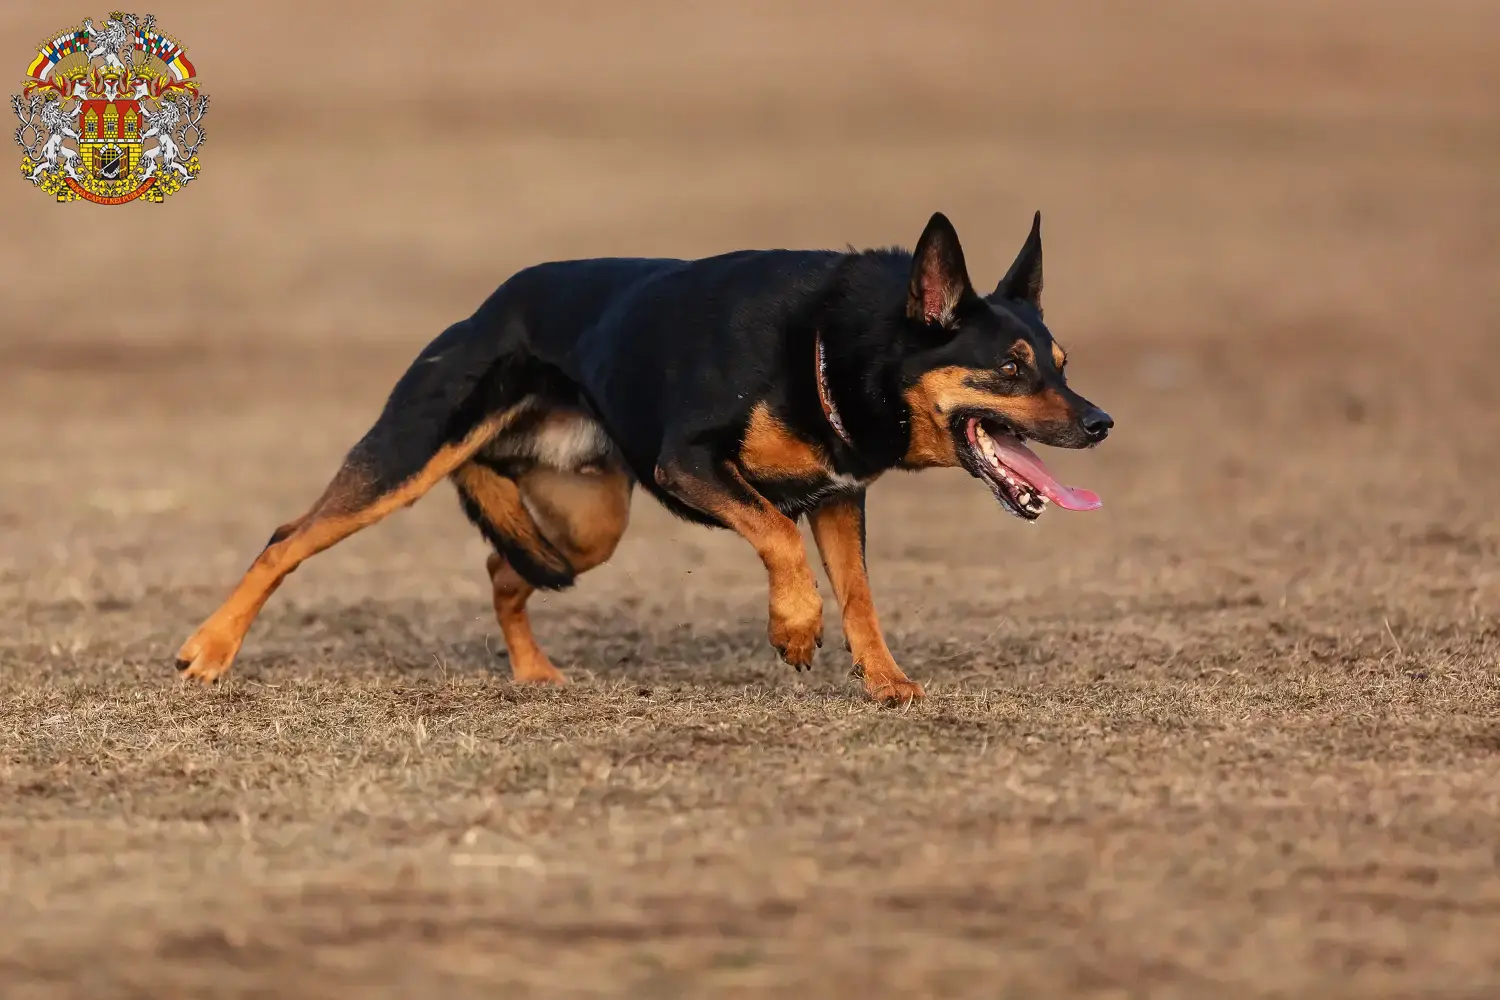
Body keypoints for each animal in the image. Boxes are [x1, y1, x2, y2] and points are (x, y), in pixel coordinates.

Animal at [175, 212, 1116, 704]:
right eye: (1012, 369)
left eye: (1063, 365)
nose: (1102, 422)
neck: (833, 348)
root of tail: (486, 310)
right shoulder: (692, 466)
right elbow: (779, 540)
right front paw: (792, 629)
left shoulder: (838, 497)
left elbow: (860, 599)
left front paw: (885, 683)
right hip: (408, 456)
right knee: (288, 538)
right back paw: (208, 650)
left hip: (592, 522)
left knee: (506, 567)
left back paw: (534, 672)